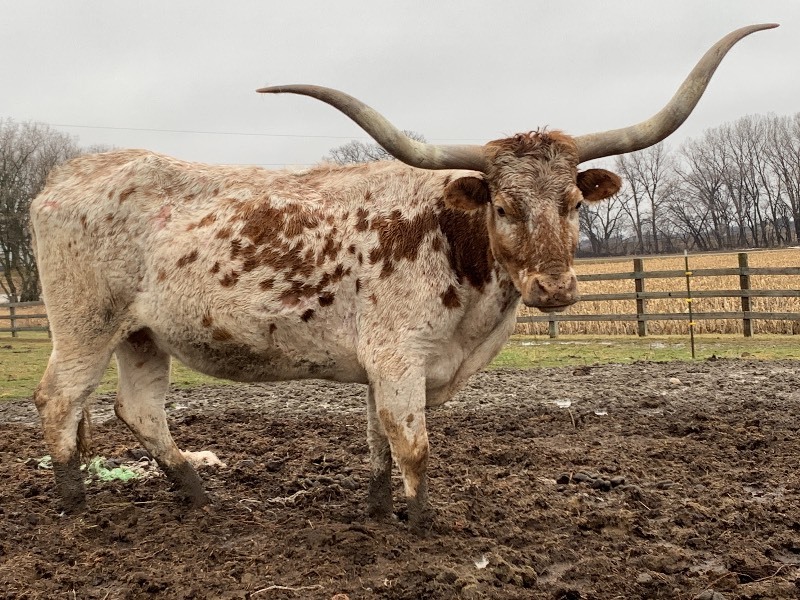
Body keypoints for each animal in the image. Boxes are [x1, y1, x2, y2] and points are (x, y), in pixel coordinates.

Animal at [30, 24, 775, 531]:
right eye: (503, 205)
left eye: (571, 202)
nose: (555, 290)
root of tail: (65, 177)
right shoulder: (398, 358)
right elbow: (413, 445)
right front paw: (419, 526)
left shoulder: (381, 367)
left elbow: (379, 445)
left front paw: (377, 510)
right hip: (85, 324)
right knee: (60, 401)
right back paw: (73, 503)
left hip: (142, 335)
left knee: (138, 409)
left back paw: (196, 491)